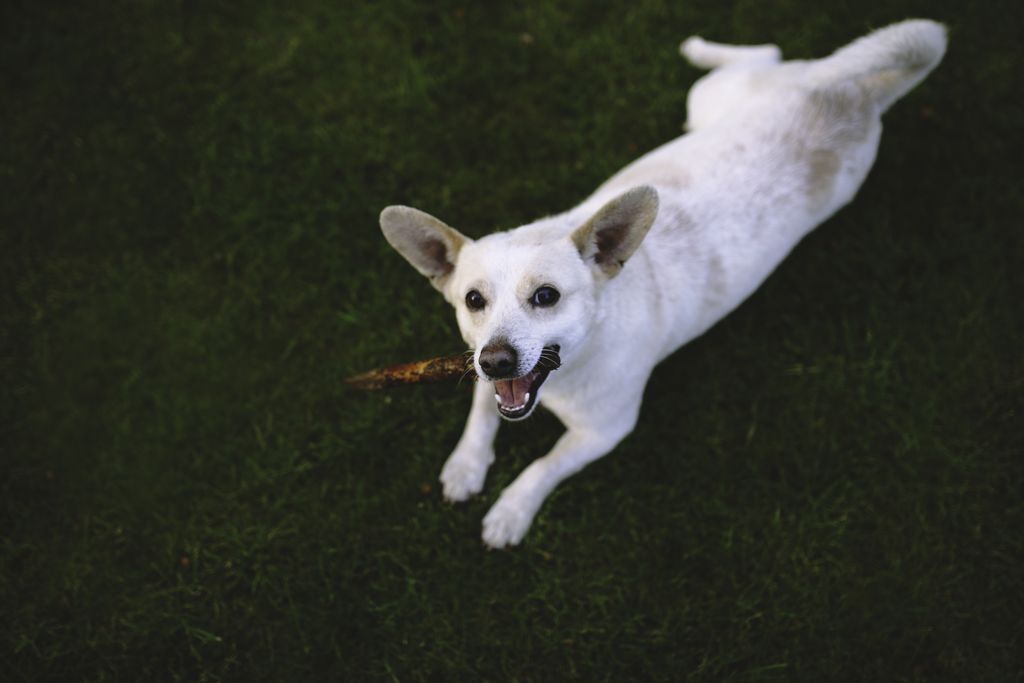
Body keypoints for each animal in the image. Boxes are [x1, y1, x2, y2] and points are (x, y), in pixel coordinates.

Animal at [380, 18, 946, 548]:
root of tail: (857, 93)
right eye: (473, 300)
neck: (571, 370)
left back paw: (699, 47)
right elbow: (481, 410)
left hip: (724, 100)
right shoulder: (481, 367)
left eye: (546, 297)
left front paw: (511, 510)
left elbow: (544, 465)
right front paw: (466, 465)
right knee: (767, 53)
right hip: (715, 103)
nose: (497, 360)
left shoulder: (605, 432)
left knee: (765, 51)